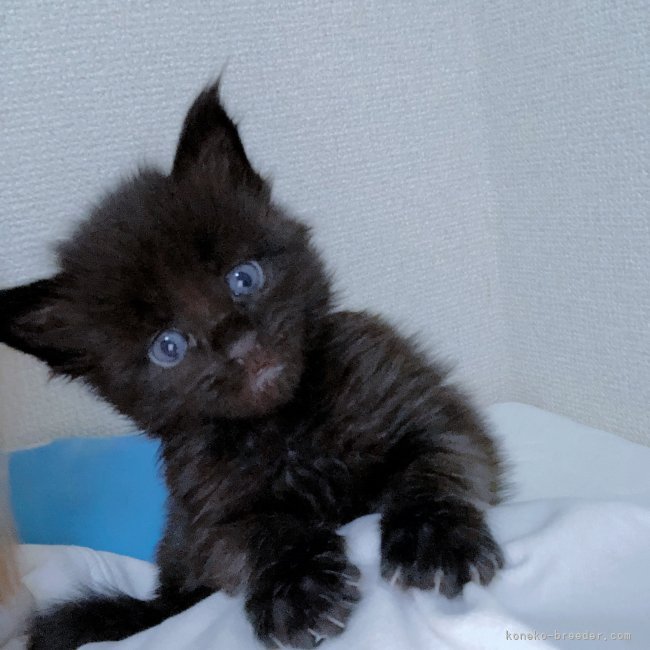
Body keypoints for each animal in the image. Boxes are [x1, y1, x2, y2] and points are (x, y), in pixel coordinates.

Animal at [0, 82, 505, 650]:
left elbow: (434, 462)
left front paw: (432, 538)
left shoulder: (424, 403)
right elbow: (253, 533)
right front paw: (297, 589)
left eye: (243, 278)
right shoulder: (204, 512)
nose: (240, 344)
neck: (288, 428)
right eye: (168, 347)